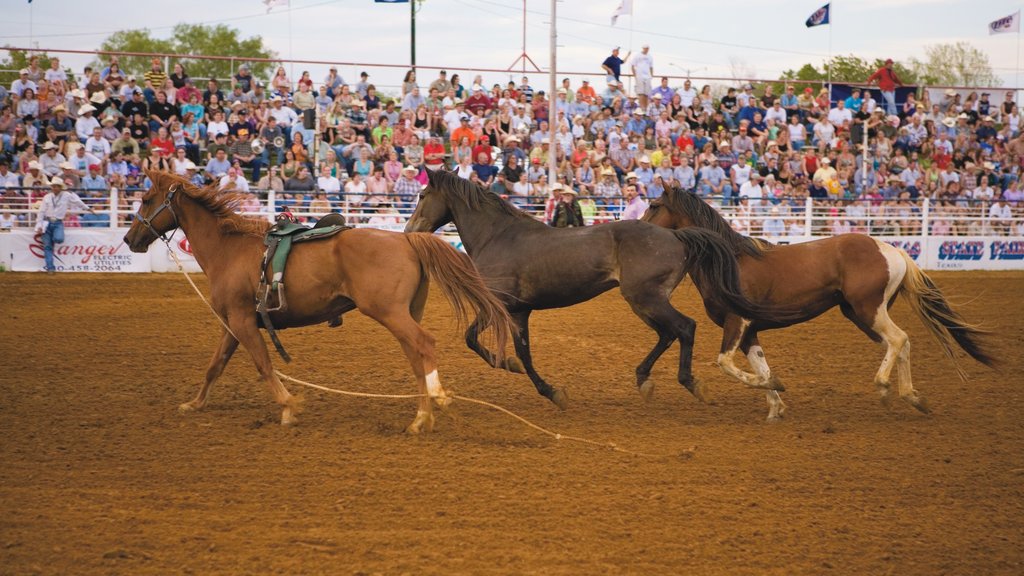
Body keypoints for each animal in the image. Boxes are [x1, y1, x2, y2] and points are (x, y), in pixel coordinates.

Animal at [123, 170, 516, 430]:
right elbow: (214, 366)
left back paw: (437, 398)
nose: (130, 238)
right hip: (404, 313)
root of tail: (405, 239)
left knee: (425, 344)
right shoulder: (232, 324)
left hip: (389, 312)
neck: (228, 248)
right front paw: (194, 404)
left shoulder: (242, 321)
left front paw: (288, 405)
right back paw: (420, 418)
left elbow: (264, 364)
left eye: (146, 199)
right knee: (415, 355)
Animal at [403, 169, 802, 407]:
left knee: (684, 328)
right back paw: (645, 380)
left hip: (644, 297)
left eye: (422, 195)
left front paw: (517, 370)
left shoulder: (500, 304)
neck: (499, 236)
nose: (408, 231)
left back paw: (690, 383)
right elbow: (524, 352)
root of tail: (677, 235)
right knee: (669, 334)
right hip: (645, 300)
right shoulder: (518, 311)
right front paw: (548, 389)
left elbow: (474, 339)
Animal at [643, 186, 995, 420]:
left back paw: (884, 388)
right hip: (861, 314)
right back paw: (912, 397)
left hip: (868, 310)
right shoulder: (750, 331)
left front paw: (774, 389)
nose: (639, 228)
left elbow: (726, 364)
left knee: (899, 339)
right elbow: (760, 364)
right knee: (902, 344)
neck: (730, 261)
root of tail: (893, 250)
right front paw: (775, 405)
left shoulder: (736, 322)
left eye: (654, 204)